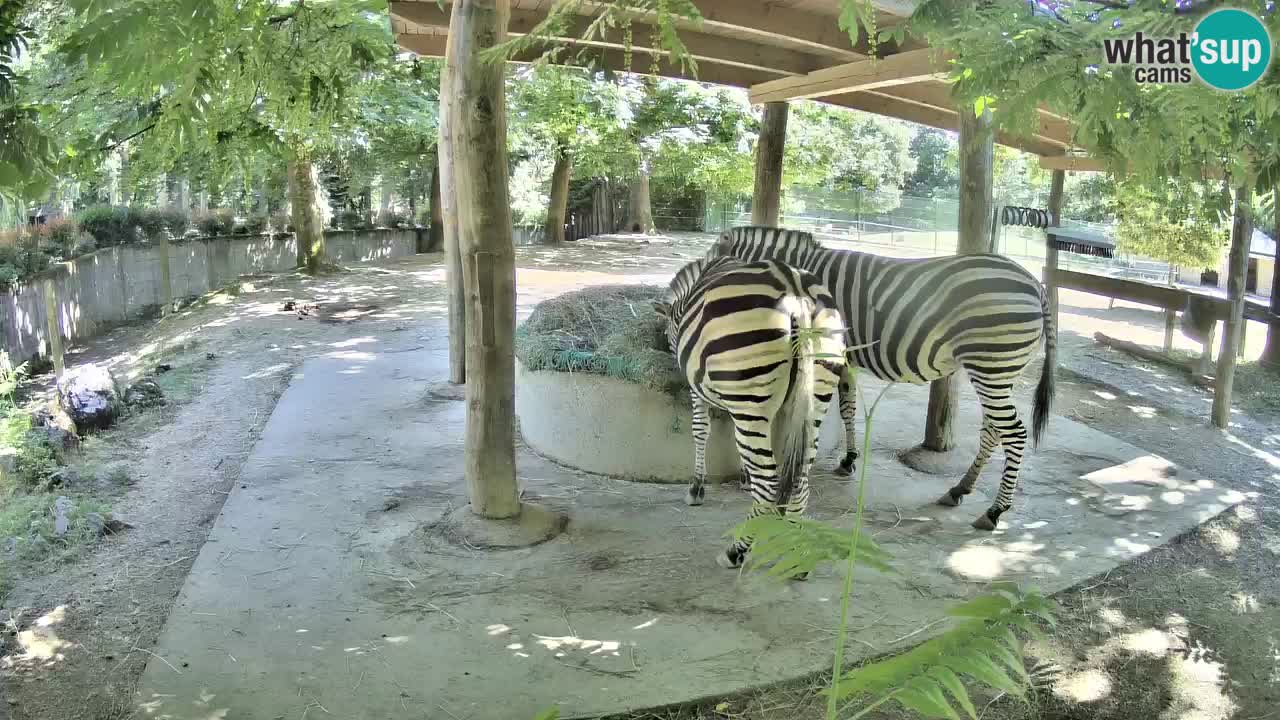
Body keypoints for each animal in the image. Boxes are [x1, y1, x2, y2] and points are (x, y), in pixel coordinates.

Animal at [654, 255, 846, 569]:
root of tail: (795, 292)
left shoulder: (700, 391)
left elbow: (700, 430)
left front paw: (696, 488)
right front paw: (745, 478)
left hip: (750, 398)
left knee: (768, 481)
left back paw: (736, 551)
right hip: (813, 399)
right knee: (800, 478)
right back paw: (795, 555)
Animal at [709, 226, 1057, 532]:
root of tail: (1035, 284)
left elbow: (822, 410)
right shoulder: (845, 358)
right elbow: (847, 407)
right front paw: (848, 459)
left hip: (991, 366)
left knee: (1014, 433)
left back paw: (995, 511)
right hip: (1000, 372)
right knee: (994, 431)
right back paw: (960, 489)